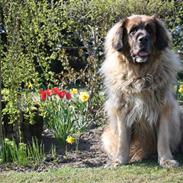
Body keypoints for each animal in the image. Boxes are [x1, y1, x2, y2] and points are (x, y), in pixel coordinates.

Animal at [101, 15, 182, 168]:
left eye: (150, 30)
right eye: (132, 31)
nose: (143, 39)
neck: (140, 74)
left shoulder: (163, 107)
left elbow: (163, 138)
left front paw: (166, 160)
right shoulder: (122, 109)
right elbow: (122, 140)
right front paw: (119, 161)